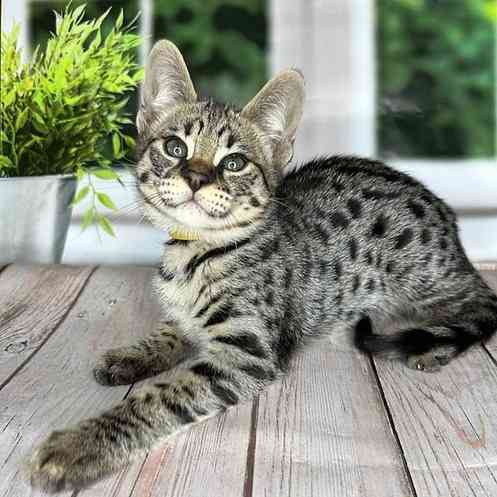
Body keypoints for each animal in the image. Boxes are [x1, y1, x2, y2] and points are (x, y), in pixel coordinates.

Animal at [28, 39, 496, 492]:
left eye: (233, 162)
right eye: (175, 148)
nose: (196, 177)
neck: (195, 254)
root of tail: (445, 216)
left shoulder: (246, 351)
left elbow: (161, 397)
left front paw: (79, 445)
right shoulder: (188, 317)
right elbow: (170, 330)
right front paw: (132, 353)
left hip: (422, 280)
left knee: (481, 304)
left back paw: (434, 346)